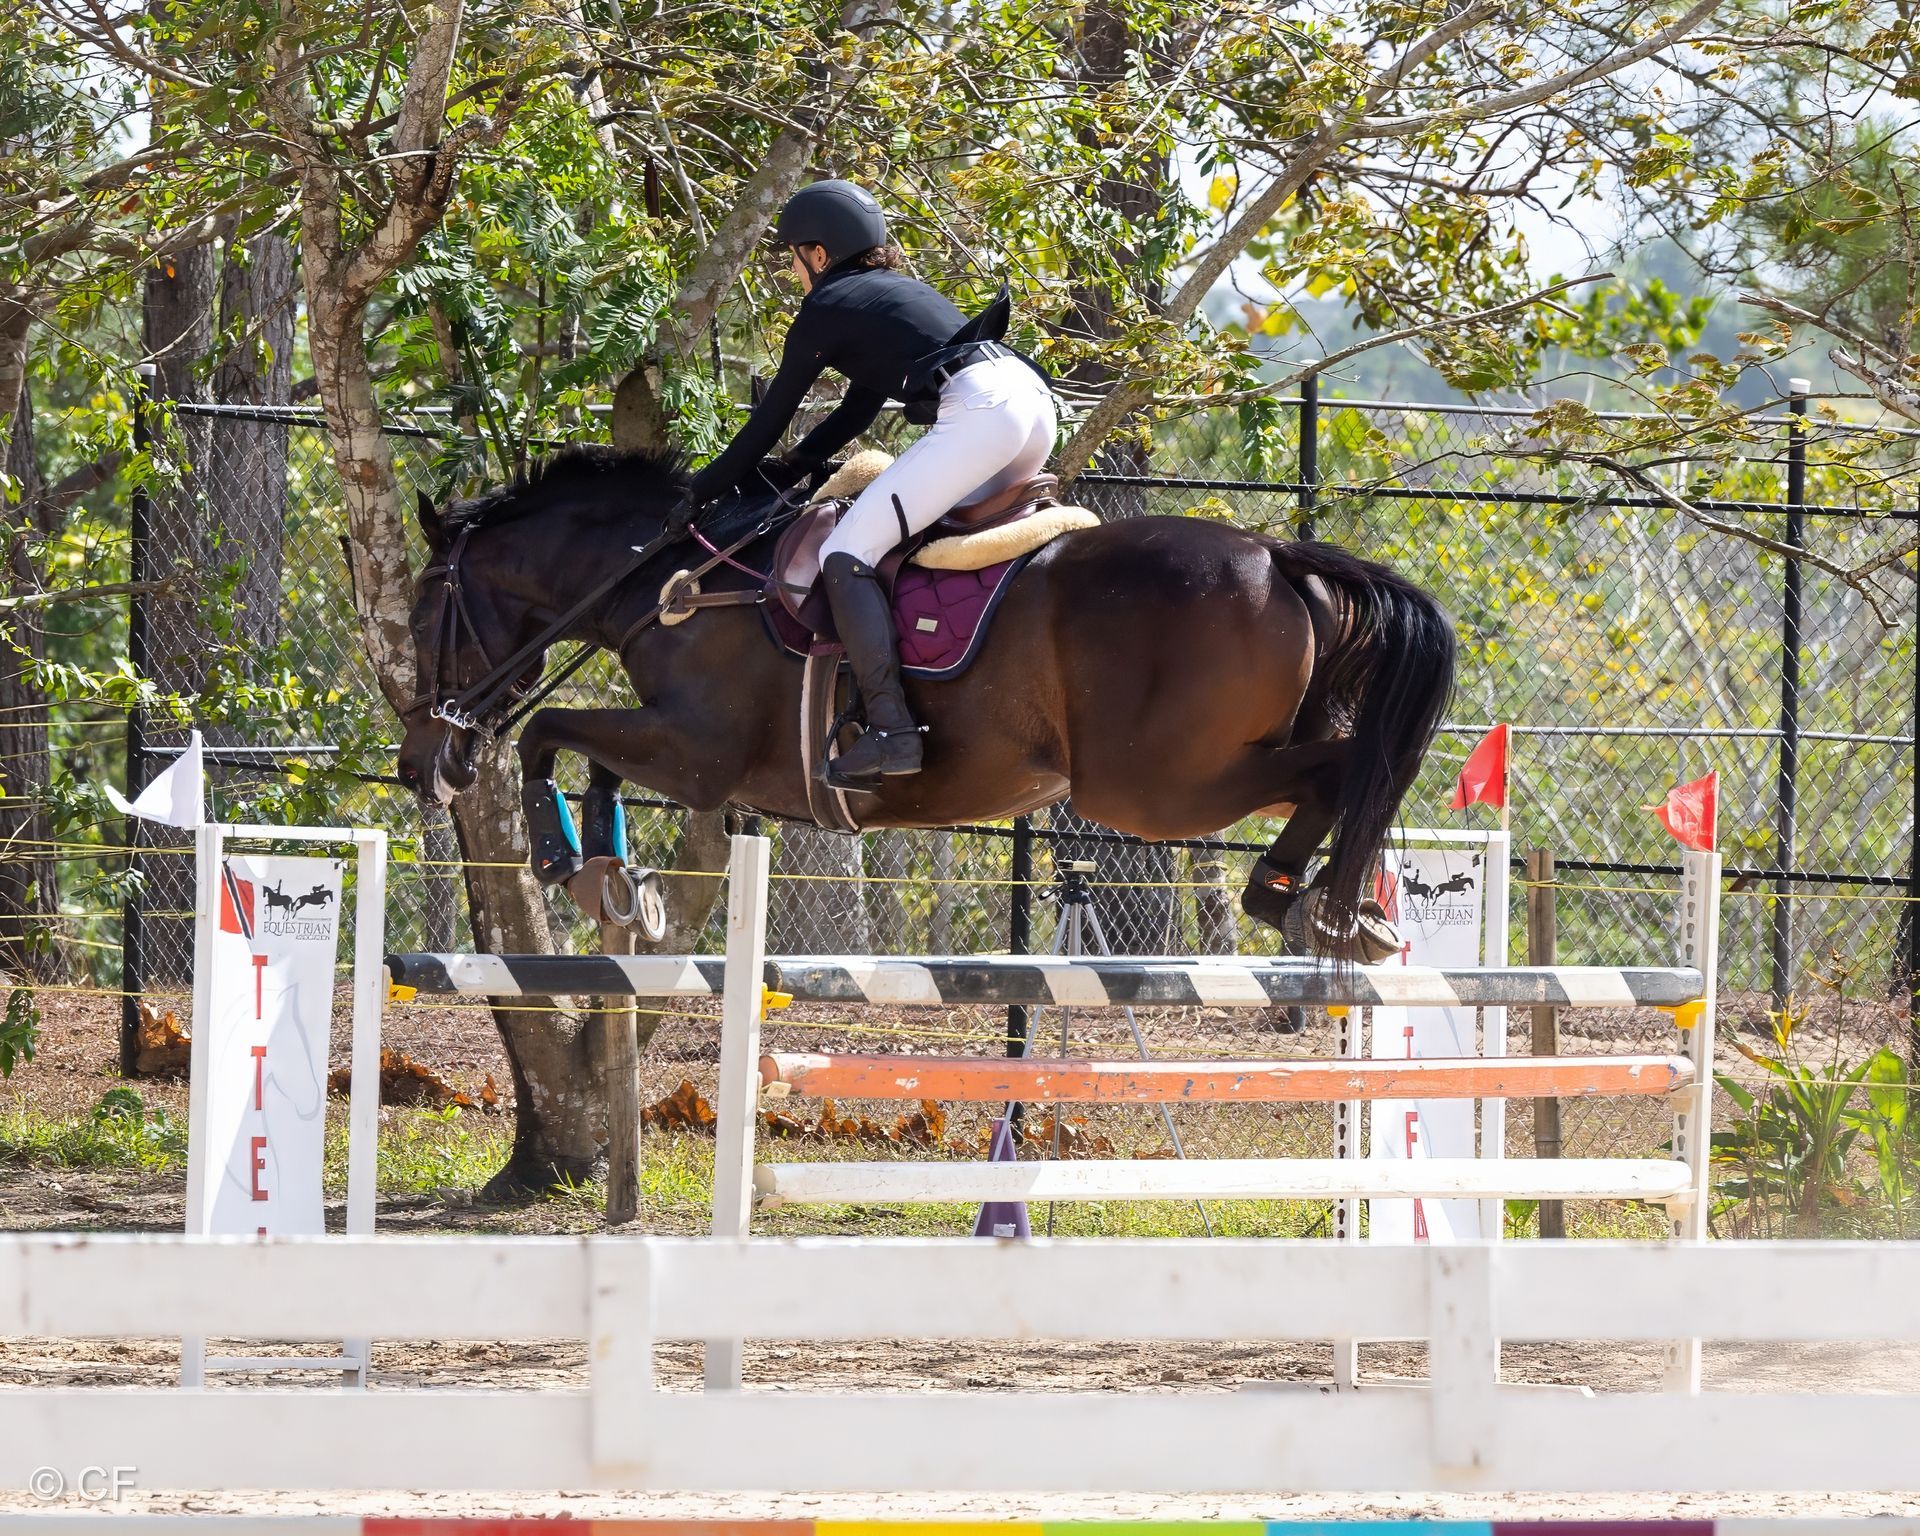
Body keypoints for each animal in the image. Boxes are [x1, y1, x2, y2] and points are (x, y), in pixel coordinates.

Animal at [394, 445, 1457, 959]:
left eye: (419, 613)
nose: (419, 767)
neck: (673, 580)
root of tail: (1279, 555)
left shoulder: (699, 754)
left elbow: (549, 730)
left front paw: (562, 862)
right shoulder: (681, 751)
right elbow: (589, 757)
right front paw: (615, 881)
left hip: (1156, 786)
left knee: (1345, 772)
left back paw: (1296, 900)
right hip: (1208, 767)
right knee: (1340, 775)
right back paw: (1319, 905)